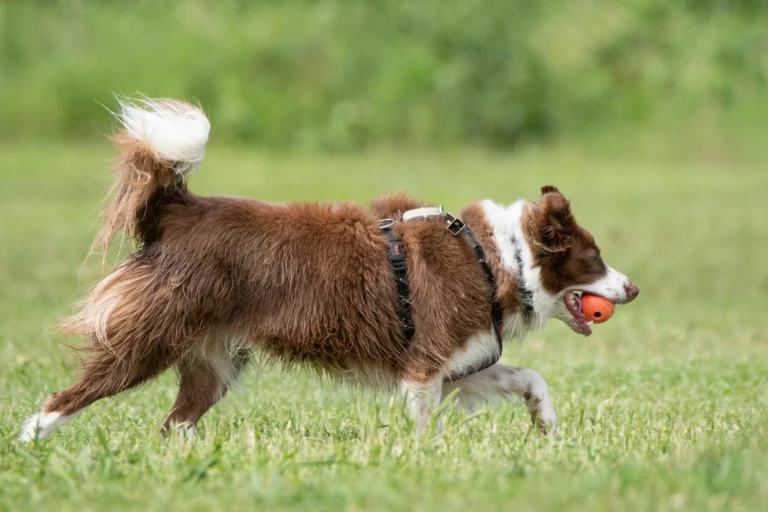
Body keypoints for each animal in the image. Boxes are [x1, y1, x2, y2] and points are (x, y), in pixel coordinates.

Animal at [19, 98, 636, 442]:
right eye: (594, 259)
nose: (632, 288)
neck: (495, 258)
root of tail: (179, 211)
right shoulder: (424, 366)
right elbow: (424, 426)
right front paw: (424, 459)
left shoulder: (456, 362)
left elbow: (529, 377)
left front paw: (546, 427)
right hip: (149, 339)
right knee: (64, 398)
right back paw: (29, 445)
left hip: (215, 362)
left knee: (172, 424)